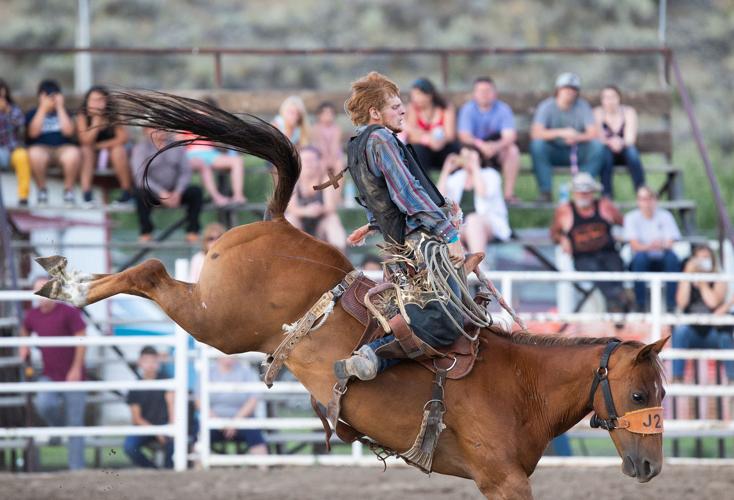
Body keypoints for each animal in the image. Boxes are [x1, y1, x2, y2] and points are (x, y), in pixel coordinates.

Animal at [36, 92, 672, 498]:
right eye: (640, 393)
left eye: (660, 393)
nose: (649, 466)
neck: (521, 383)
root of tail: (276, 223)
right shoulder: (504, 481)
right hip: (219, 321)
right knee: (149, 271)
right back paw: (66, 285)